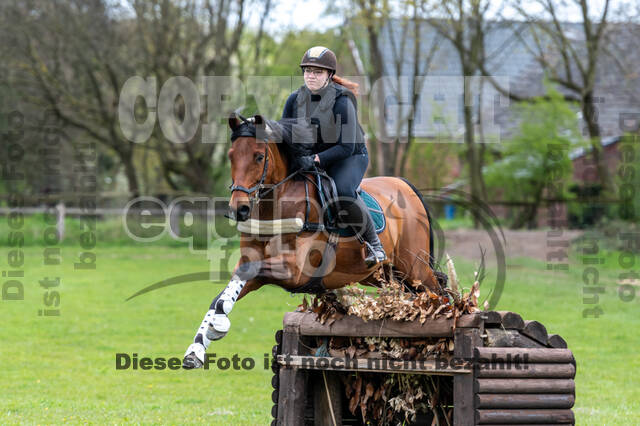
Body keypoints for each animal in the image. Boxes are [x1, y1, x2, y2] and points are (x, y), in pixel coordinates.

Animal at [180, 114, 440, 370]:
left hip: (414, 269)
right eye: (231, 155)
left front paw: (218, 322)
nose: (239, 209)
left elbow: (244, 275)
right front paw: (197, 348)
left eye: (259, 156)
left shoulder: (295, 270)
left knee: (437, 291)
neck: (275, 206)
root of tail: (405, 185)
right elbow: (224, 293)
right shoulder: (258, 268)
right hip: (383, 275)